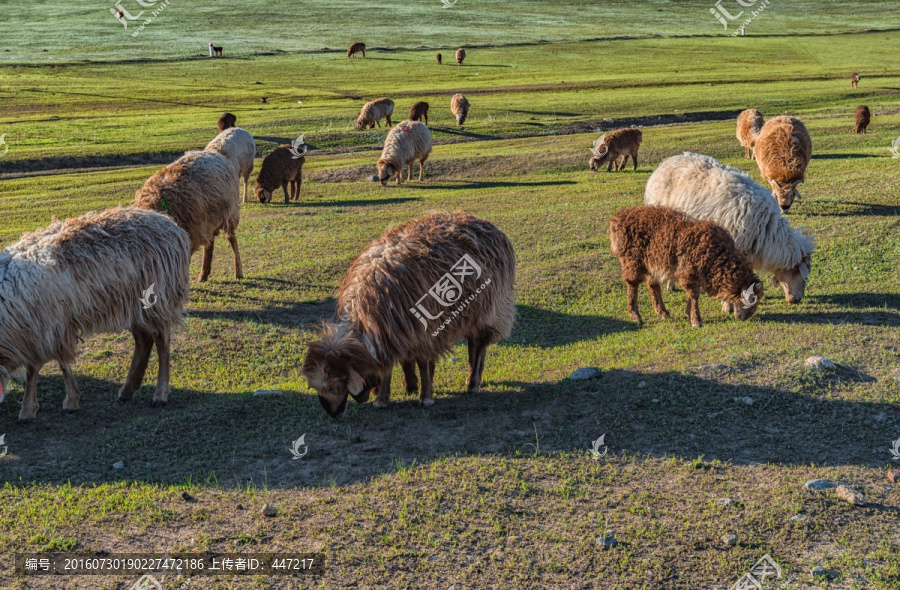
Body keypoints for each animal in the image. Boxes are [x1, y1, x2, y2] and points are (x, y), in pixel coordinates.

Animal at [0, 206, 190, 424]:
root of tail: (171, 225)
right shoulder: (42, 329)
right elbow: (53, 364)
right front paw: (56, 402)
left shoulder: (45, 326)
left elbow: (41, 367)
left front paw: (36, 408)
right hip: (133, 306)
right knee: (143, 340)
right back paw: (127, 390)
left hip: (157, 298)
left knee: (162, 341)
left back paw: (160, 394)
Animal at [134, 151, 243, 284]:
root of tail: (217, 155)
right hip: (208, 222)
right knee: (209, 243)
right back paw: (203, 274)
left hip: (230, 213)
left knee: (231, 239)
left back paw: (238, 272)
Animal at [302, 210, 512, 418]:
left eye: (338, 385)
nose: (333, 415)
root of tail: (483, 222)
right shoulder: (397, 330)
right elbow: (397, 363)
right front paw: (395, 393)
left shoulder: (421, 330)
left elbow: (421, 362)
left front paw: (425, 397)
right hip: (471, 315)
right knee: (472, 345)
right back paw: (469, 379)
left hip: (489, 310)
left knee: (479, 346)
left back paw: (473, 383)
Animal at [608, 207, 764, 328]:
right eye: (752, 299)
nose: (746, 317)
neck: (718, 257)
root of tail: (618, 218)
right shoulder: (689, 271)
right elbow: (694, 295)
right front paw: (696, 321)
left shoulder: (694, 274)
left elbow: (692, 294)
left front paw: (689, 314)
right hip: (632, 260)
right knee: (632, 284)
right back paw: (635, 315)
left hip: (653, 263)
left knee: (653, 285)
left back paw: (663, 312)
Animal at [644, 153, 812, 308]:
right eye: (802, 274)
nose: (797, 299)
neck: (766, 230)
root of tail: (666, 161)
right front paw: (728, 305)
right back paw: (670, 284)